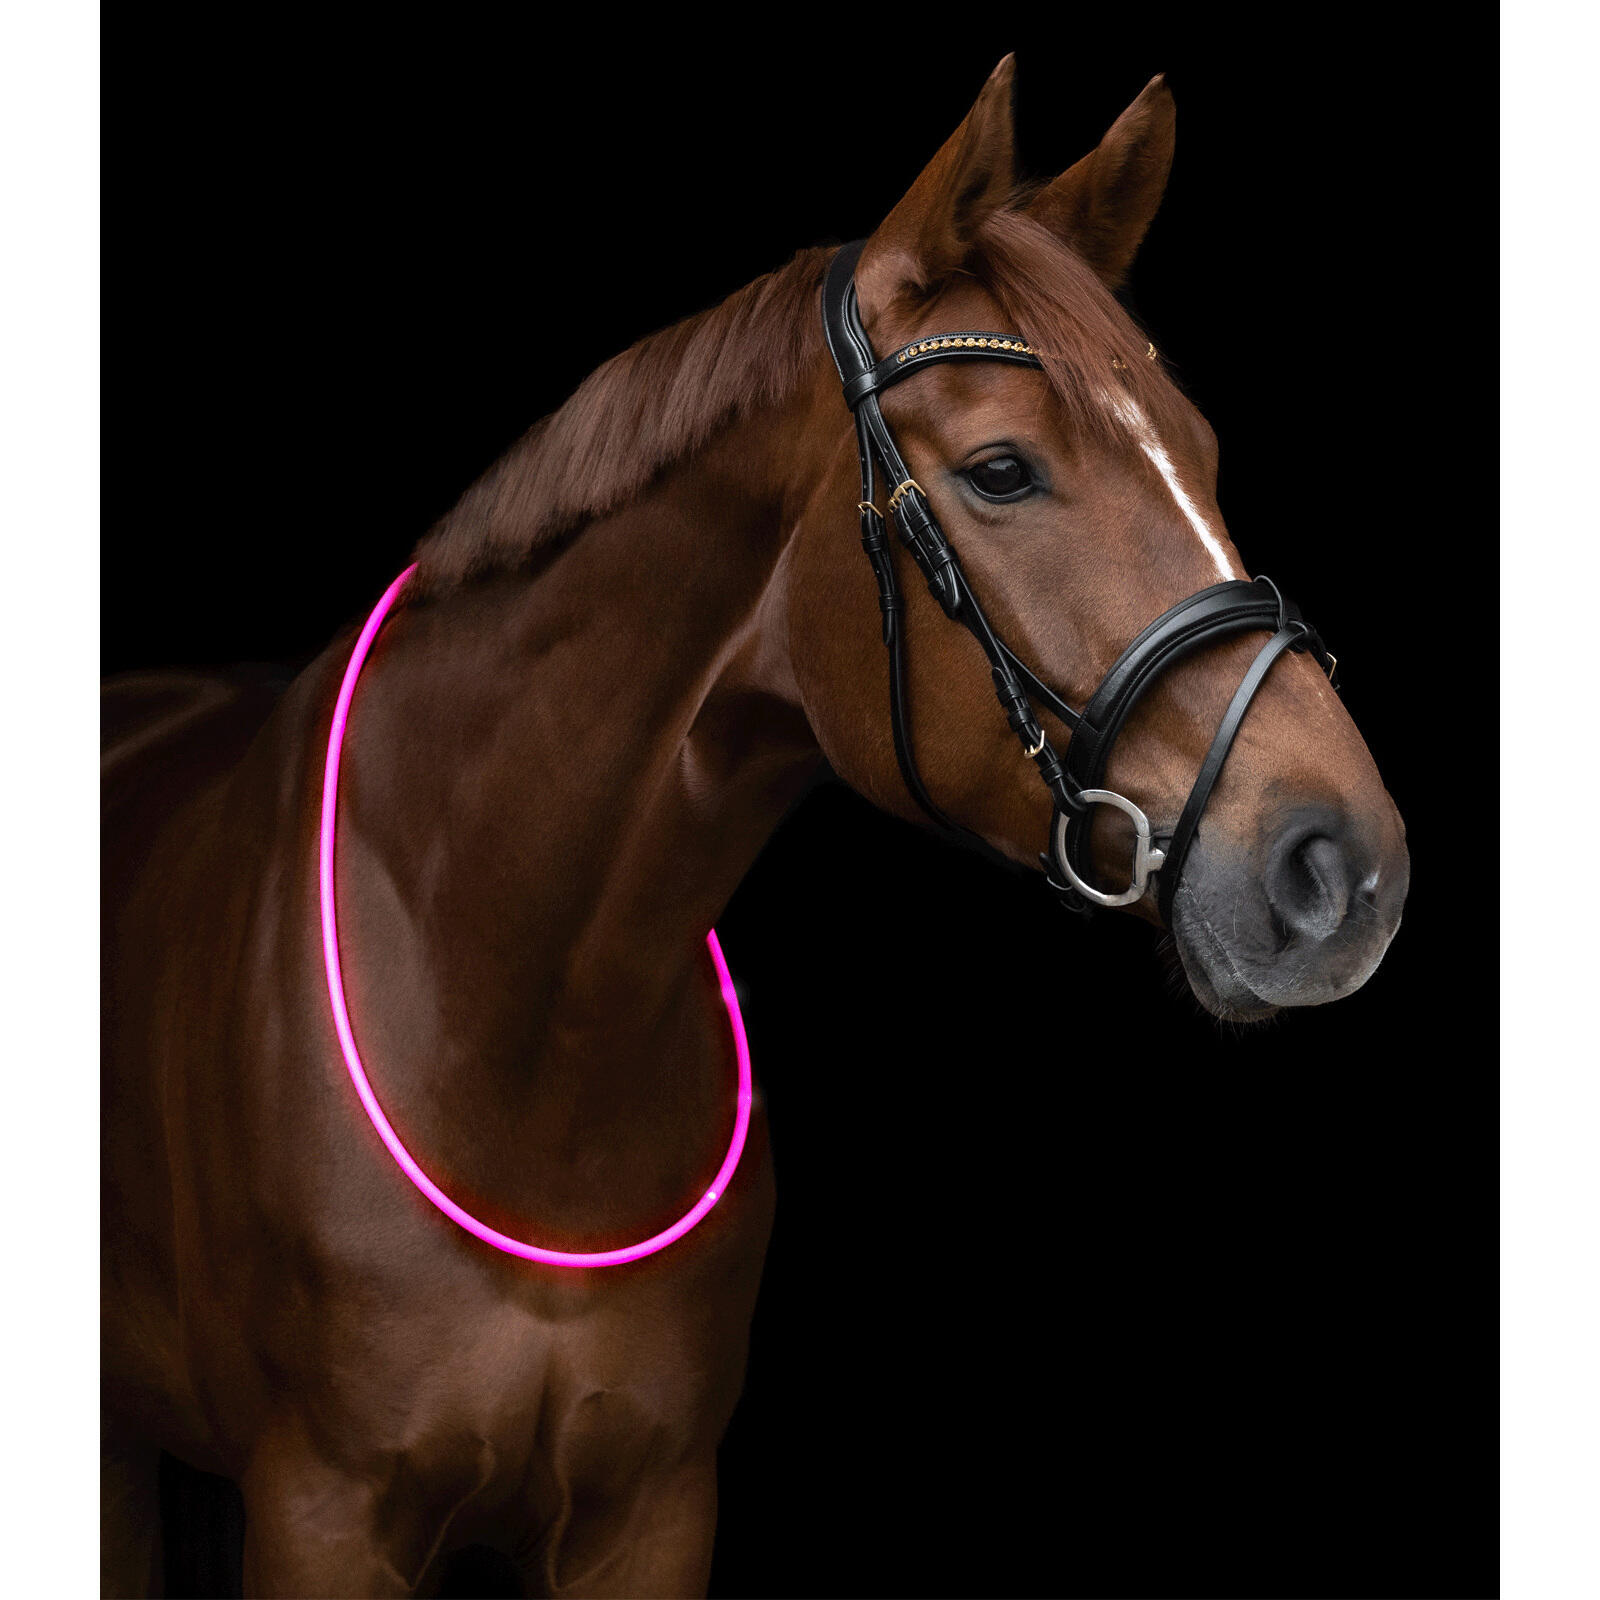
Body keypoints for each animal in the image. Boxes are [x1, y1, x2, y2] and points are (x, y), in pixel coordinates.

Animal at [101, 59, 1409, 1598]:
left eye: (1201, 455)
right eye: (1004, 470)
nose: (1344, 867)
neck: (515, 1033)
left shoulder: (653, 1512)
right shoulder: (323, 1512)